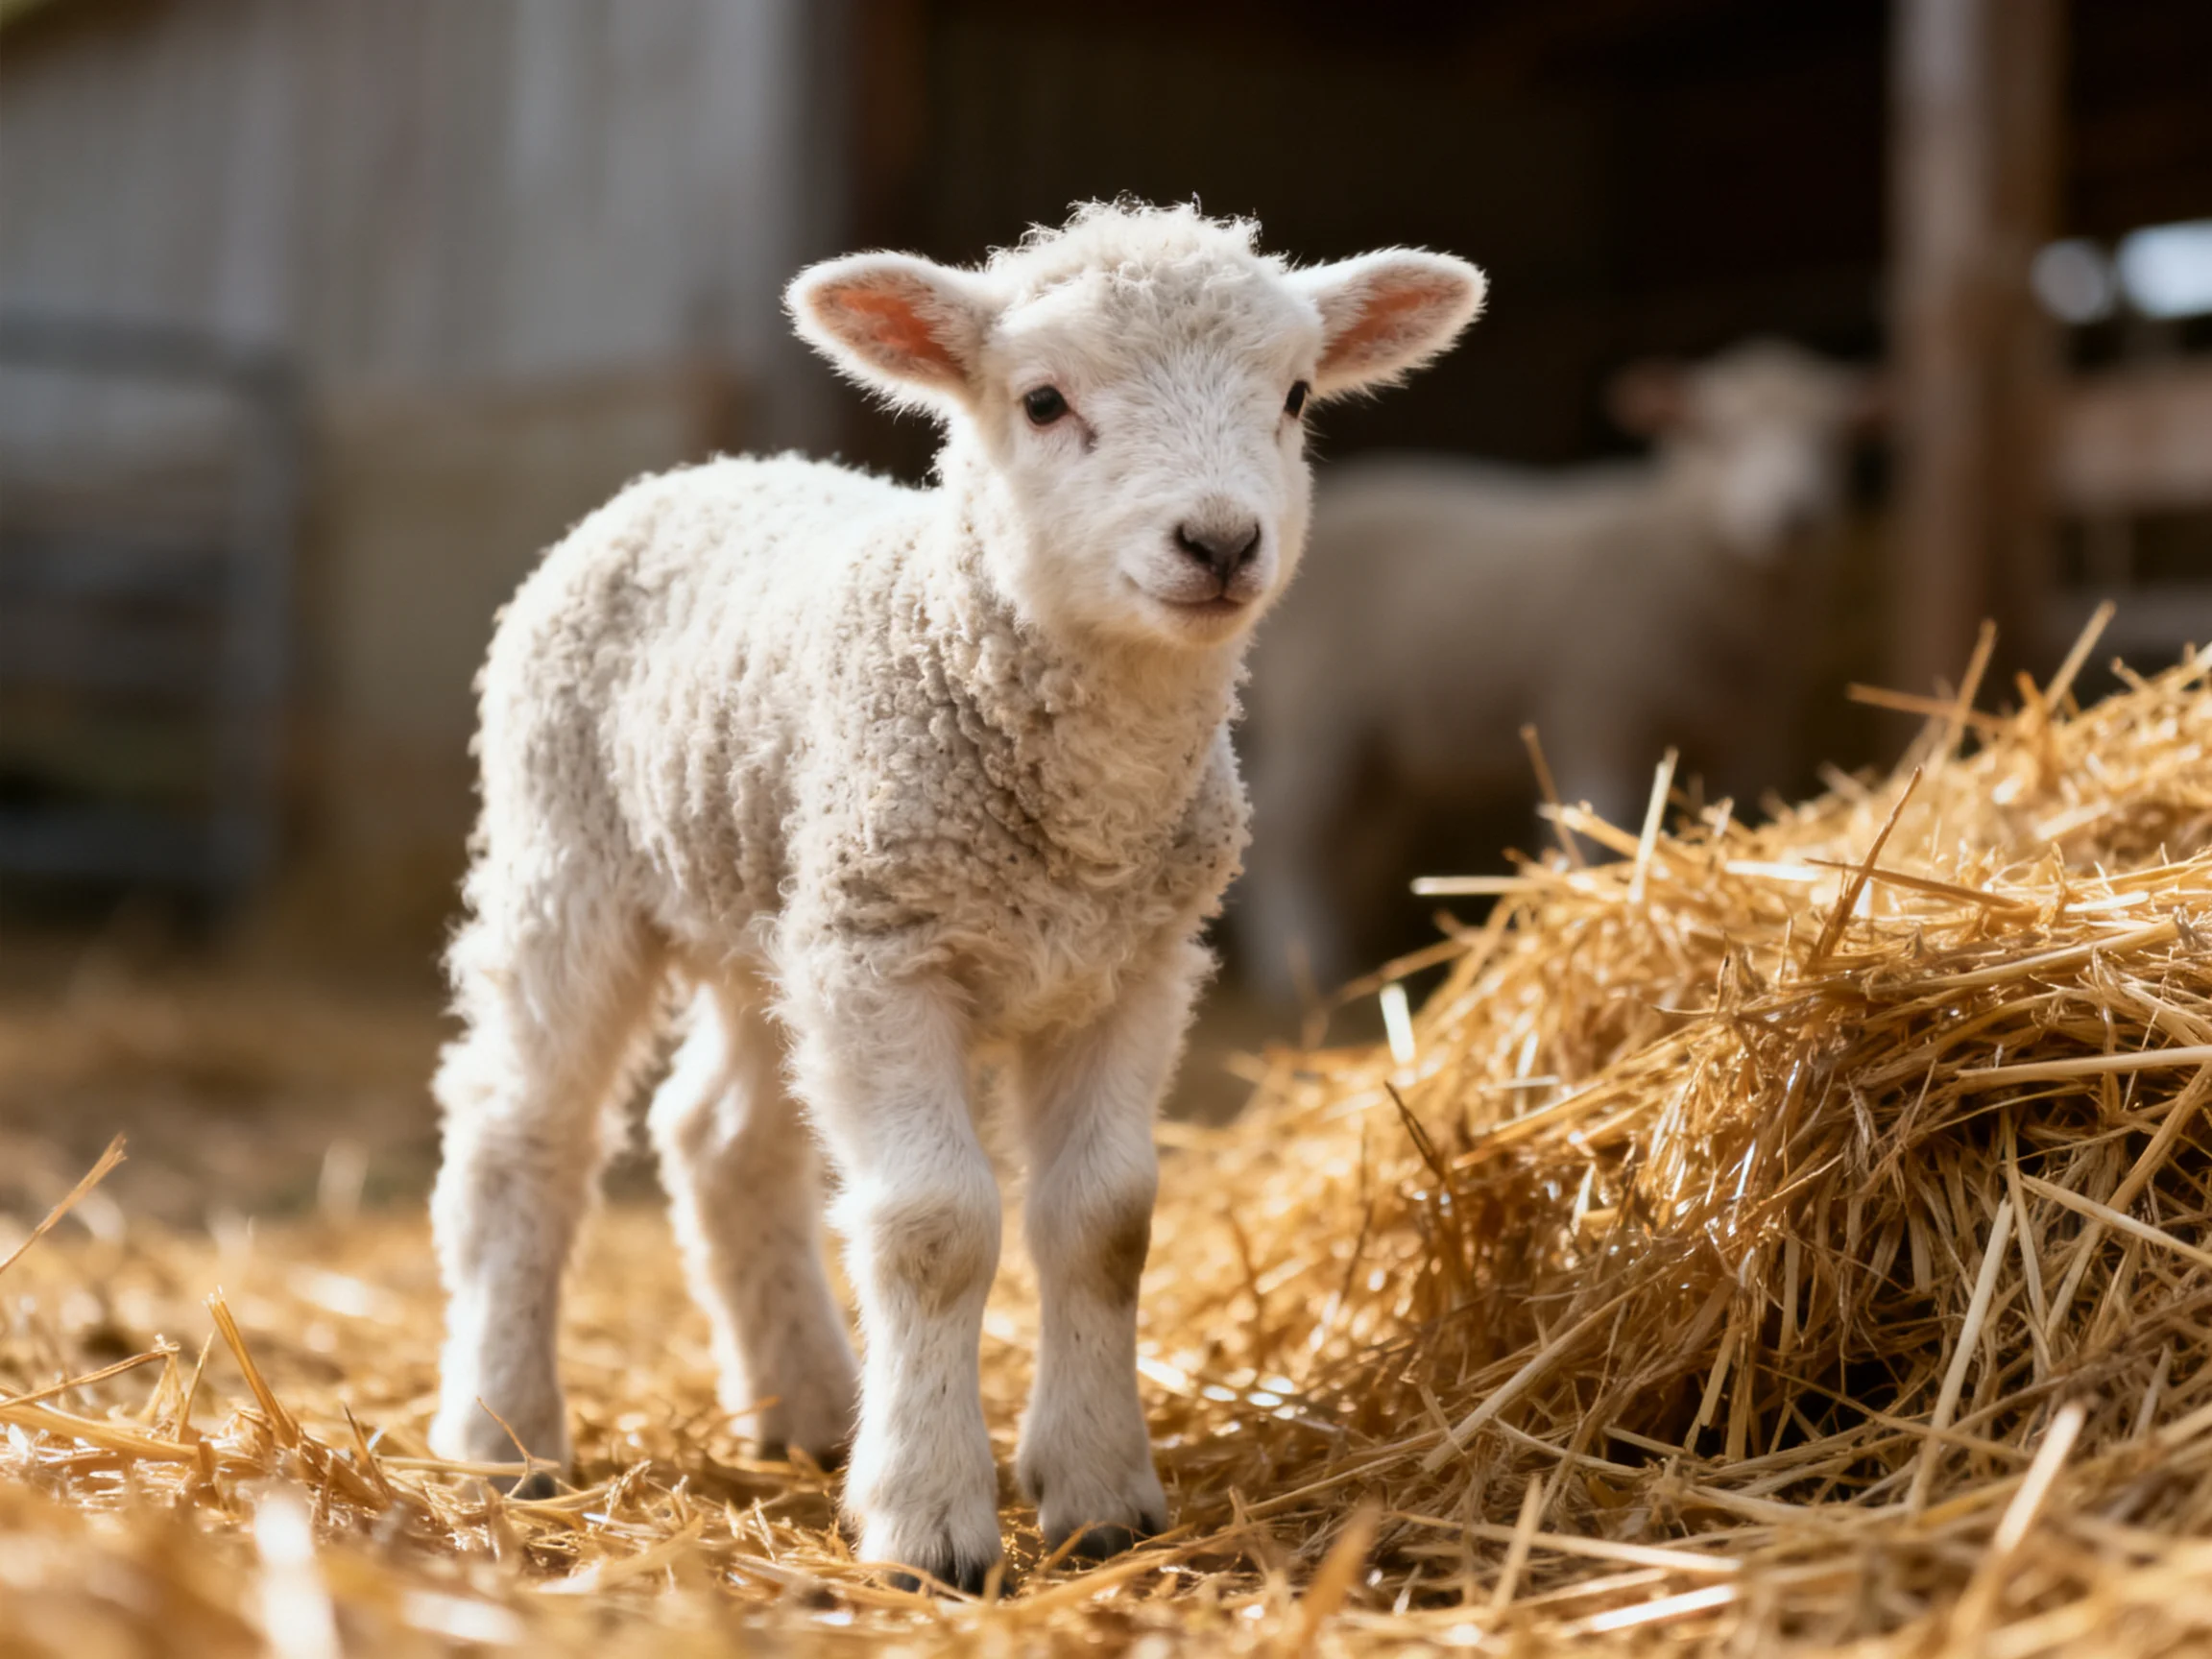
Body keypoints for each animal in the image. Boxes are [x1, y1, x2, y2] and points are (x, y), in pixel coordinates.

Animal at [426, 200, 1485, 1592]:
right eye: (1042, 401)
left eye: (1297, 395)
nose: (1218, 542)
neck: (1083, 816)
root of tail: (702, 468)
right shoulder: (890, 953)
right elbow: (935, 1225)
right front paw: (928, 1523)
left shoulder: (1132, 965)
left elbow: (1106, 1222)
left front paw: (1101, 1494)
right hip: (573, 861)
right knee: (523, 1134)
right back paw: (503, 1434)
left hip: (777, 905)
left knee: (720, 1140)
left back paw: (812, 1411)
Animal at [1236, 339, 1878, 1006]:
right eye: (1716, 435)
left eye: (1835, 439)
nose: (1794, 516)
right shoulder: (1599, 712)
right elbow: (1594, 834)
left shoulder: (1756, 726)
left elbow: (1747, 815)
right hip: (1317, 712)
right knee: (1284, 835)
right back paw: (1298, 965)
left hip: (1372, 747)